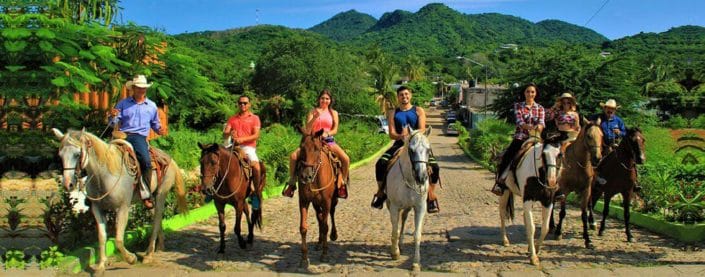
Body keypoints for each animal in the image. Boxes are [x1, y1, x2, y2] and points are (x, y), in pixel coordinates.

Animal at [52, 129, 187, 272]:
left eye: (77, 154)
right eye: (60, 155)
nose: (68, 184)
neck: (105, 174)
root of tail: (169, 159)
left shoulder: (123, 208)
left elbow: (118, 239)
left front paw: (131, 258)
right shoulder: (97, 209)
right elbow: (102, 237)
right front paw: (101, 266)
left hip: (161, 194)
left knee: (156, 221)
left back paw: (149, 254)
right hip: (149, 201)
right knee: (157, 217)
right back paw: (159, 246)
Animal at [296, 127, 340, 268]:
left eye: (316, 148)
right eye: (301, 148)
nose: (305, 176)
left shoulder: (326, 201)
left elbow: (325, 226)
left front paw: (325, 255)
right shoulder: (304, 201)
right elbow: (303, 228)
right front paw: (304, 259)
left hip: (333, 200)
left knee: (331, 214)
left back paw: (333, 235)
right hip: (316, 203)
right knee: (319, 217)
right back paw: (319, 243)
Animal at [382, 126, 432, 270]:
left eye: (428, 150)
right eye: (411, 150)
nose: (421, 177)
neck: (410, 179)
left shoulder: (420, 208)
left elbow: (417, 235)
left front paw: (416, 263)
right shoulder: (394, 207)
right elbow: (395, 230)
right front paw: (395, 253)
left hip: (408, 207)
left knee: (403, 219)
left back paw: (401, 243)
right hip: (391, 205)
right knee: (397, 223)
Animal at [500, 138, 560, 266]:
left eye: (560, 155)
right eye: (543, 154)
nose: (552, 181)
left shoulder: (548, 201)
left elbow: (545, 228)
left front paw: (535, 249)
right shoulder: (527, 199)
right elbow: (532, 228)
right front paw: (533, 257)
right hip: (504, 192)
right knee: (502, 214)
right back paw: (505, 240)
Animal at [552, 119, 604, 248]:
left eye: (602, 136)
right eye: (589, 136)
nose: (597, 158)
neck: (577, 163)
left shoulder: (586, 190)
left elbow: (584, 214)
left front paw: (587, 239)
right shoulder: (565, 189)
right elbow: (562, 212)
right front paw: (558, 232)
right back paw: (552, 226)